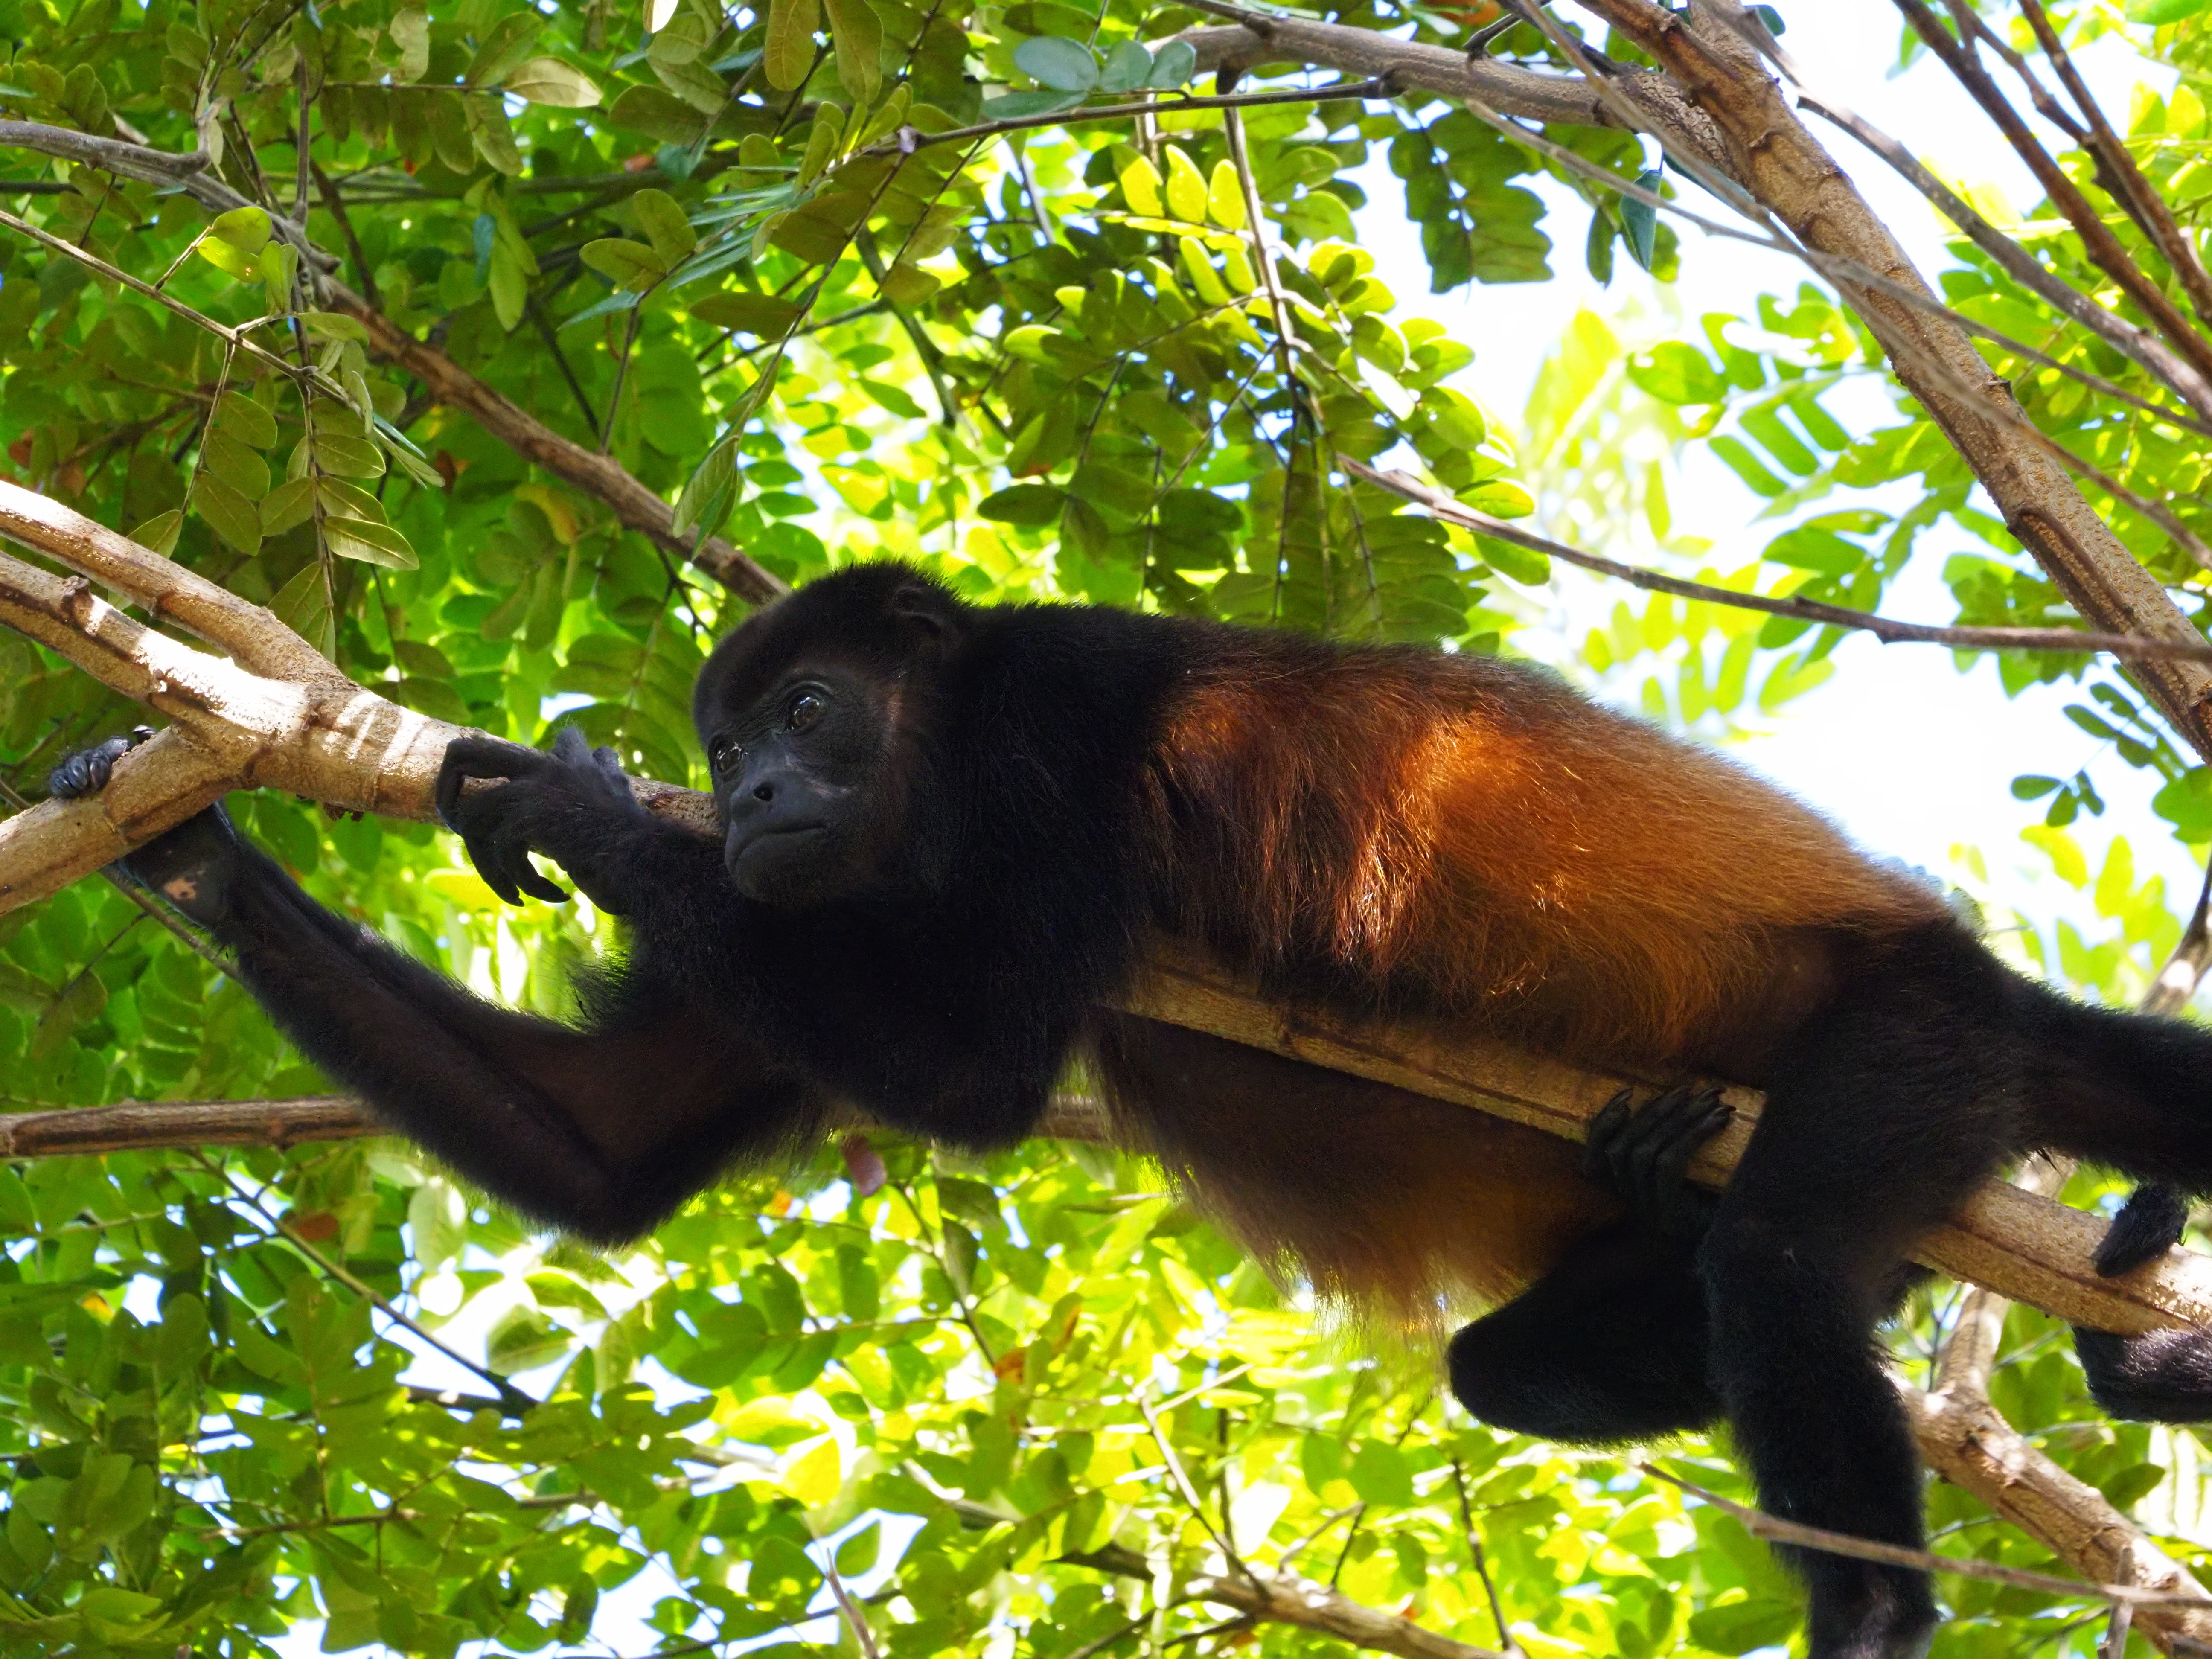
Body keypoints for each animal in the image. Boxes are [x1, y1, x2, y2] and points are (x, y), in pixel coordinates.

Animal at [47, 559, 2212, 1659]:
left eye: (806, 718)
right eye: (730, 748)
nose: (752, 800)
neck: (928, 783)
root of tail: (1974, 978)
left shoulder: (1057, 733)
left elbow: (988, 1072)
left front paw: (572, 805)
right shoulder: (809, 909)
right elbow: (611, 1140)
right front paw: (176, 835)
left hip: (1913, 1041)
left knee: (1779, 1259)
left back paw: (1869, 1611)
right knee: (1547, 1354)